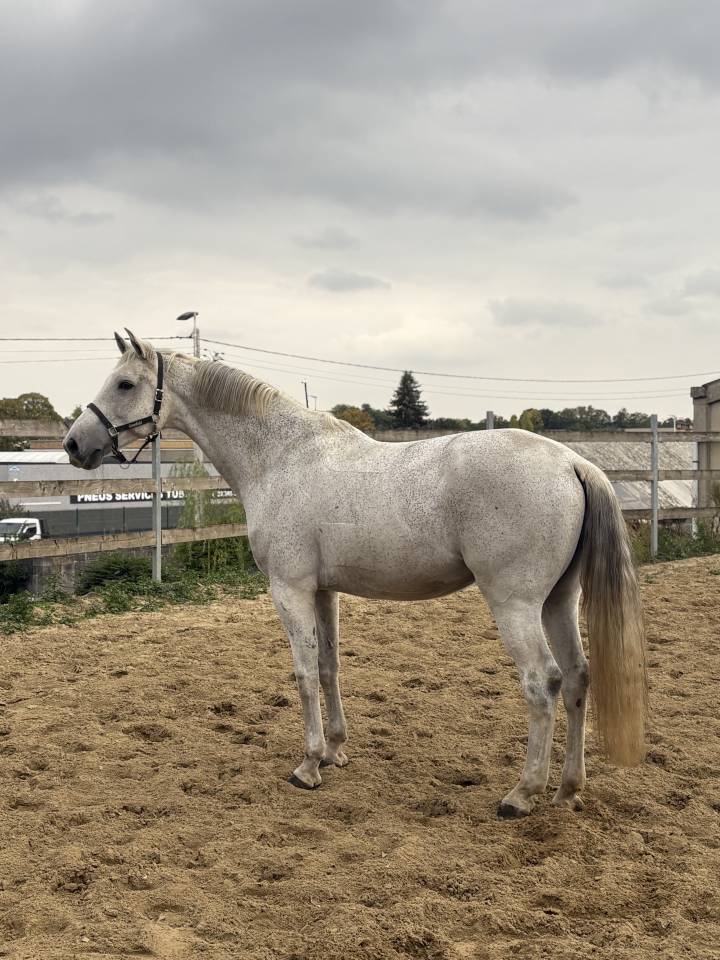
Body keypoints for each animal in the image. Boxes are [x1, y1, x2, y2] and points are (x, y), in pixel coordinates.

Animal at [63, 330, 647, 818]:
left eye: (125, 383)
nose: (74, 444)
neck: (281, 457)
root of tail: (572, 462)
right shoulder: (324, 592)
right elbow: (329, 667)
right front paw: (336, 751)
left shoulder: (289, 590)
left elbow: (302, 674)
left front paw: (307, 765)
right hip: (558, 601)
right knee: (577, 677)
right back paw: (568, 789)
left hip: (516, 605)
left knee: (542, 683)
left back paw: (522, 794)